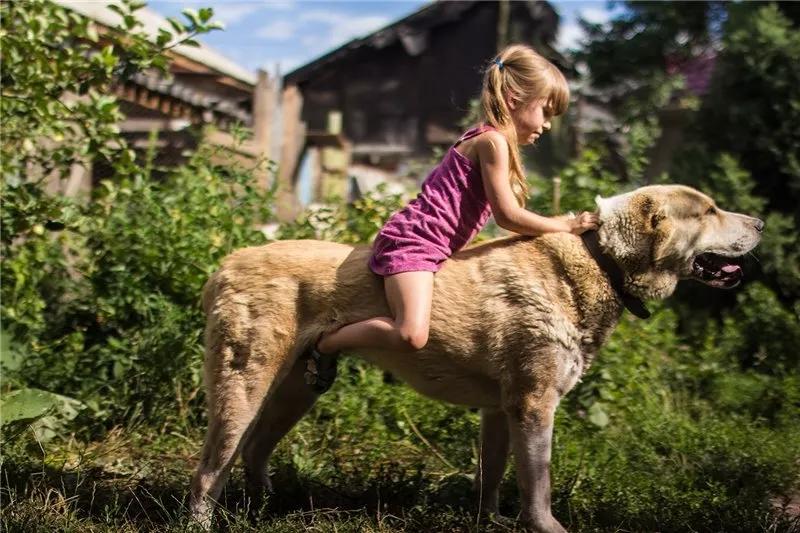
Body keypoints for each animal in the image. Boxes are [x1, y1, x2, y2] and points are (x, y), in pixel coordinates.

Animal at [186, 185, 764, 528]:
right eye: (709, 210)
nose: (761, 222)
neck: (600, 262)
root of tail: (225, 263)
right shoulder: (534, 406)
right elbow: (538, 484)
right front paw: (545, 527)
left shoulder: (500, 411)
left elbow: (493, 477)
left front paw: (490, 522)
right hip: (243, 386)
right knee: (209, 471)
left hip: (293, 393)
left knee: (254, 451)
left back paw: (264, 507)